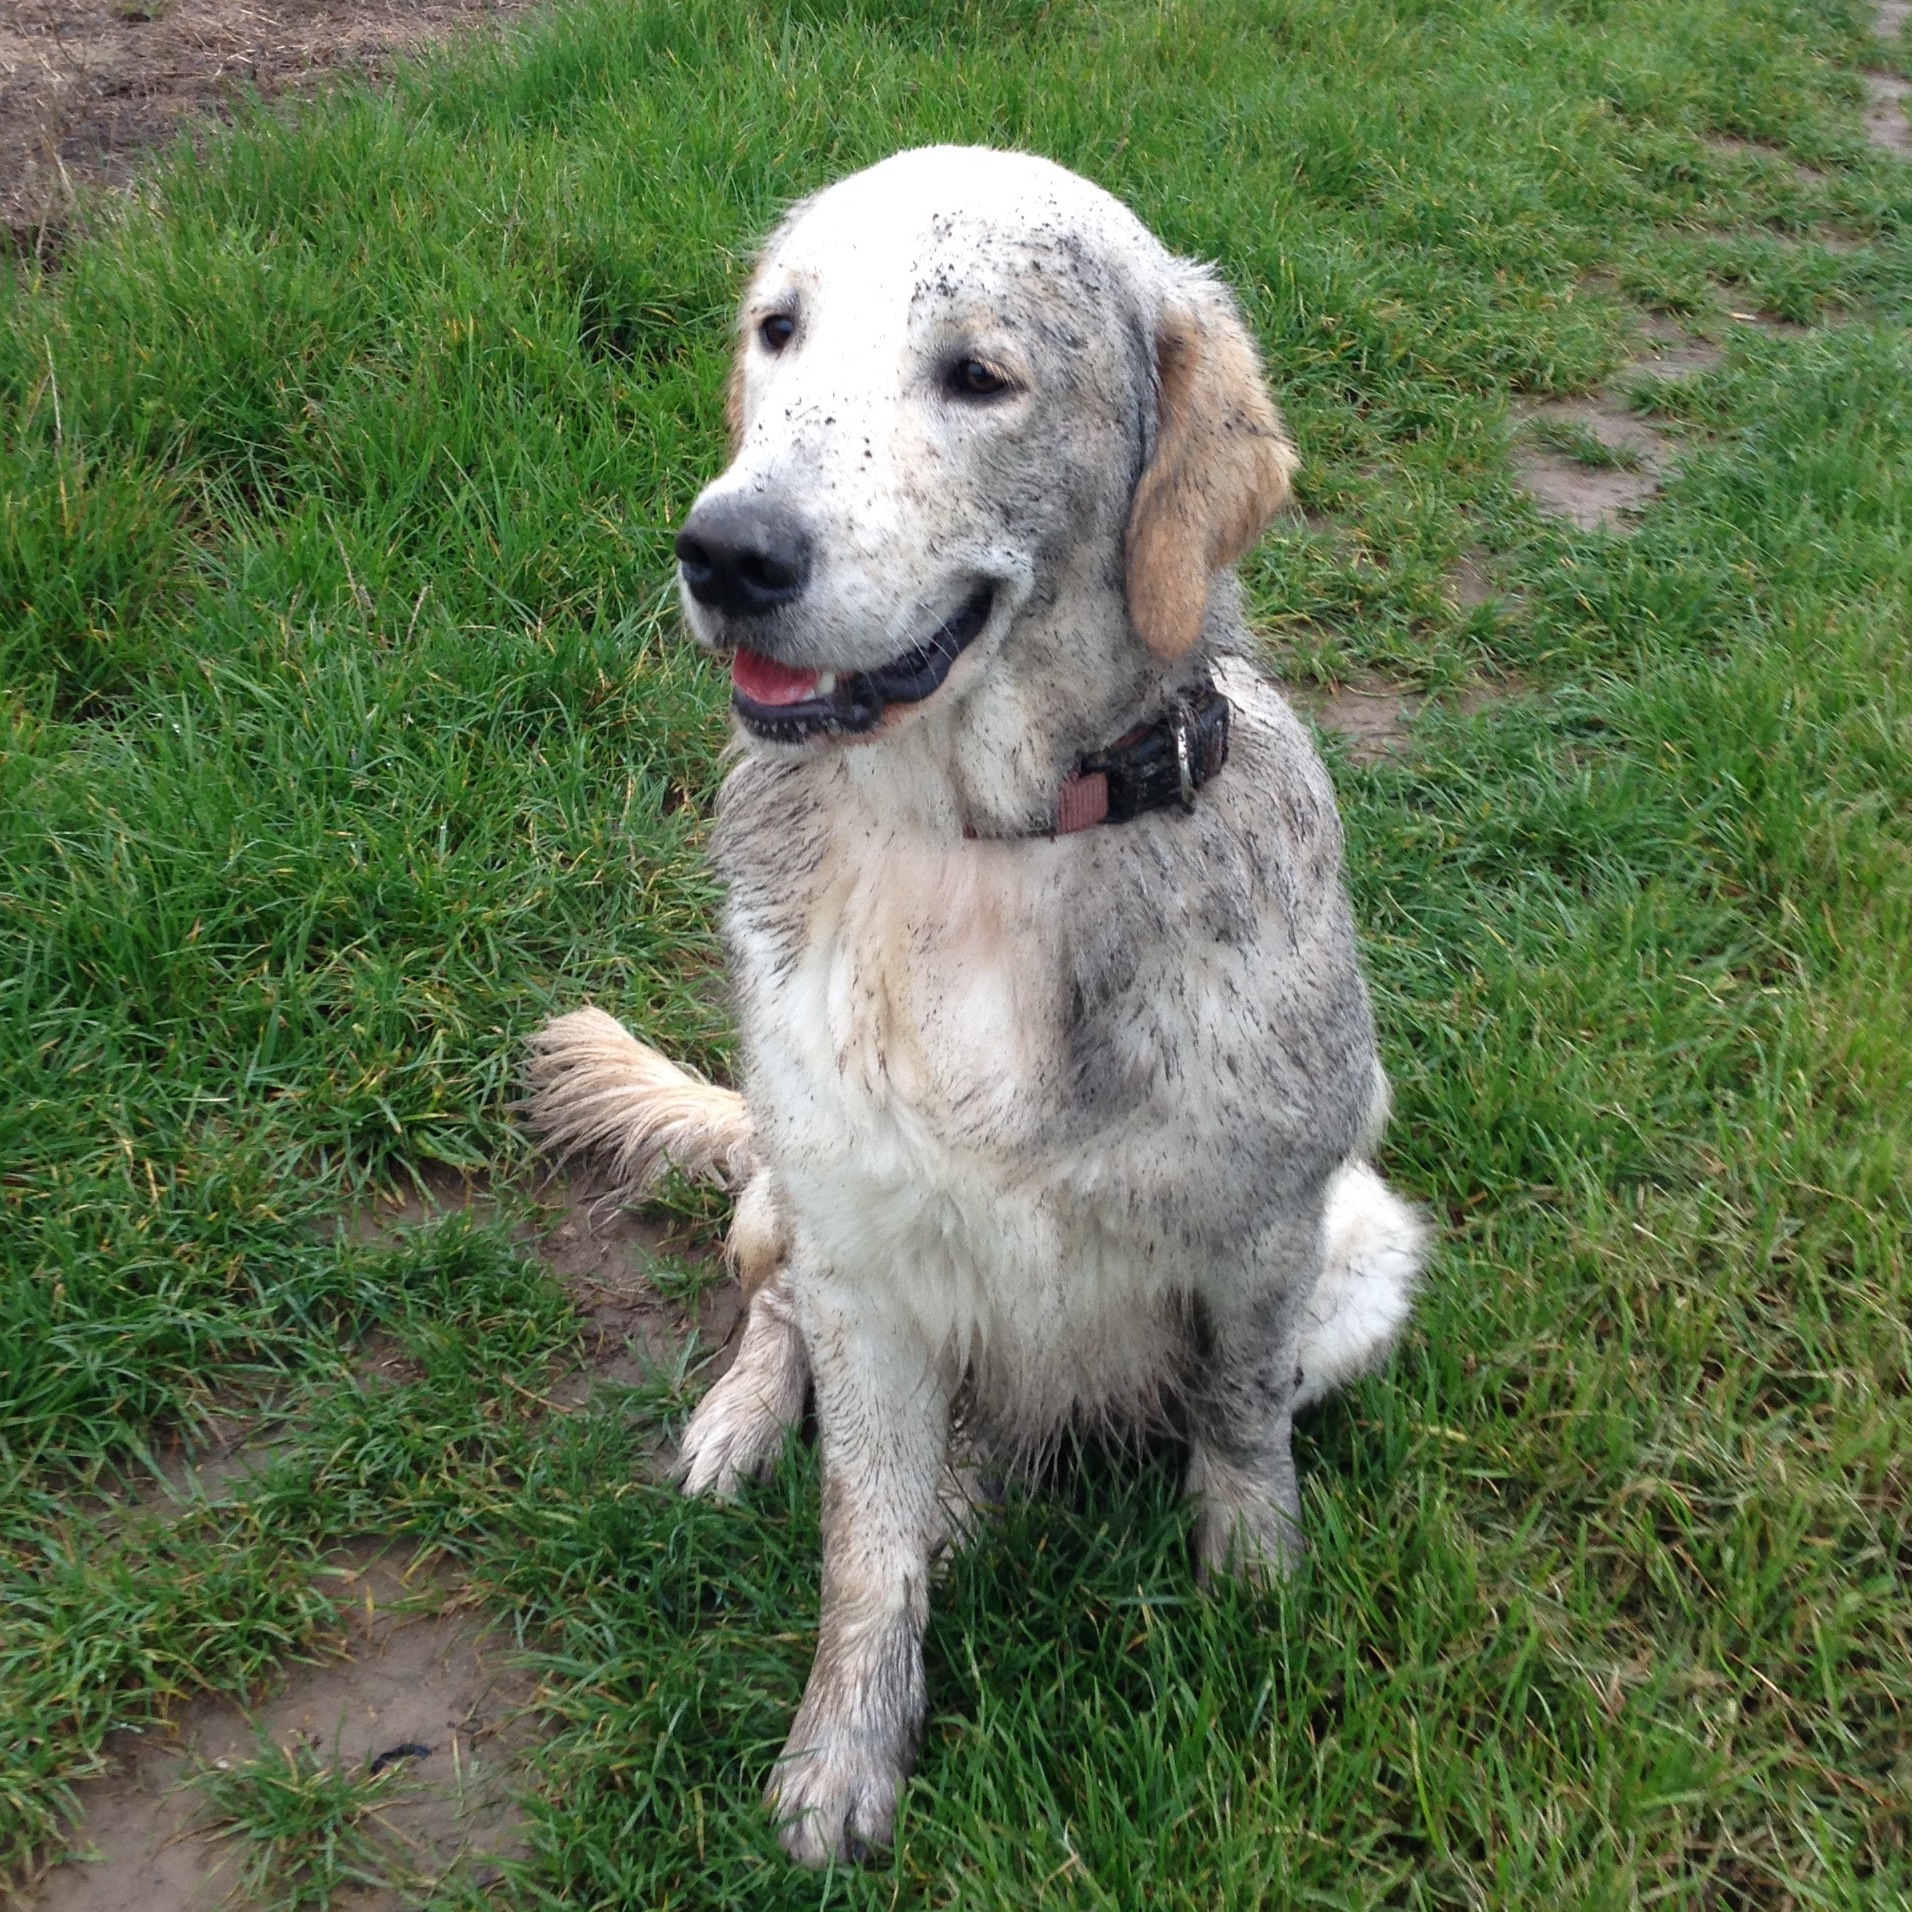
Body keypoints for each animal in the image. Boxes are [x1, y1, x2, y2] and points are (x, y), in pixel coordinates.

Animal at [520, 145, 1422, 1866]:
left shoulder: (1274, 1227)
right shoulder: (865, 1255)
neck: (990, 847)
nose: (727, 551)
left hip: (1372, 1248)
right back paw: (741, 1429)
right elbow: (859, 1552)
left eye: (980, 377)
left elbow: (1240, 1428)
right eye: (780, 331)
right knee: (771, 1317)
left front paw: (1254, 1588)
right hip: (783, 1193)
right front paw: (842, 1760)